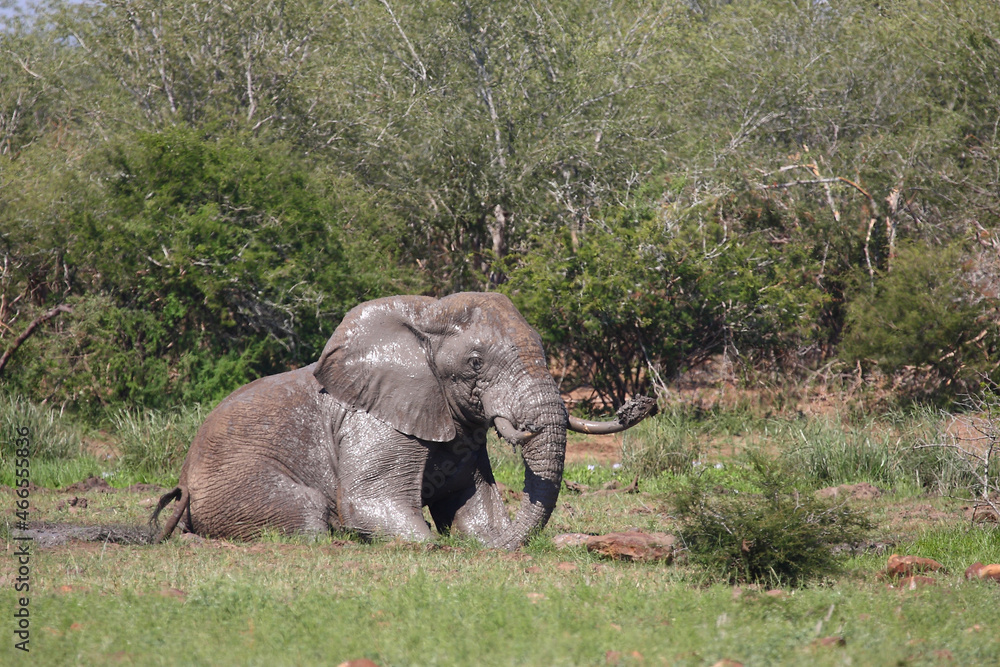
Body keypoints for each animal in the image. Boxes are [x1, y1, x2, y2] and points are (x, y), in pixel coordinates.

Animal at [151, 292, 657, 549]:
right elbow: (369, 501)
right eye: (475, 363)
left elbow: (471, 510)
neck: (426, 312)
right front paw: (428, 544)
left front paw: (484, 539)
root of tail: (184, 479)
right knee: (307, 515)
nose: (639, 403)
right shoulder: (375, 420)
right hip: (235, 483)